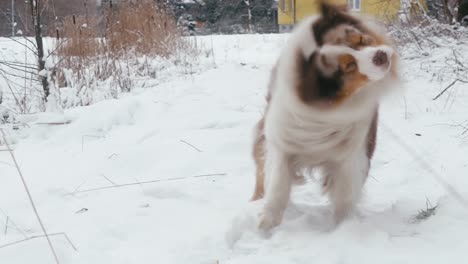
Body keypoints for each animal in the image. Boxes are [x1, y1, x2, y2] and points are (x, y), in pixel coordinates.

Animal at [250, 1, 400, 231]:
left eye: (362, 40)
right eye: (349, 66)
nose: (381, 56)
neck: (325, 110)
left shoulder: (353, 149)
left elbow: (345, 191)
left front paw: (343, 226)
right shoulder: (282, 138)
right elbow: (278, 183)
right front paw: (267, 222)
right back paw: (256, 200)